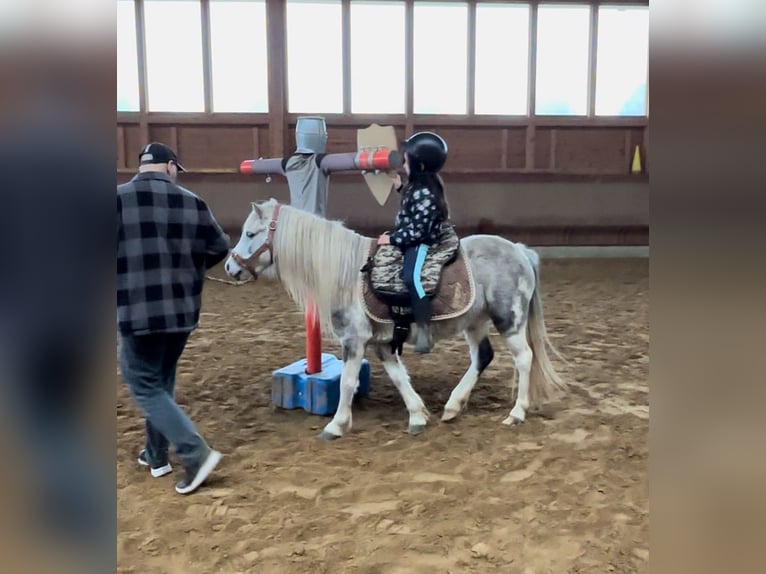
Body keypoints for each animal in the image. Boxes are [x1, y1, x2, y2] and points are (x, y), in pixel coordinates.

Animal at [222, 198, 564, 440]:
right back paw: (454, 406)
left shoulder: (355, 340)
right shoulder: (382, 343)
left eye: (250, 233)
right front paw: (418, 415)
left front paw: (336, 425)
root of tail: (519, 250)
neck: (346, 274)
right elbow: (399, 378)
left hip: (509, 320)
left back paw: (517, 412)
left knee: (524, 359)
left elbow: (347, 382)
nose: (229, 266)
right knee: (483, 356)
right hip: (475, 322)